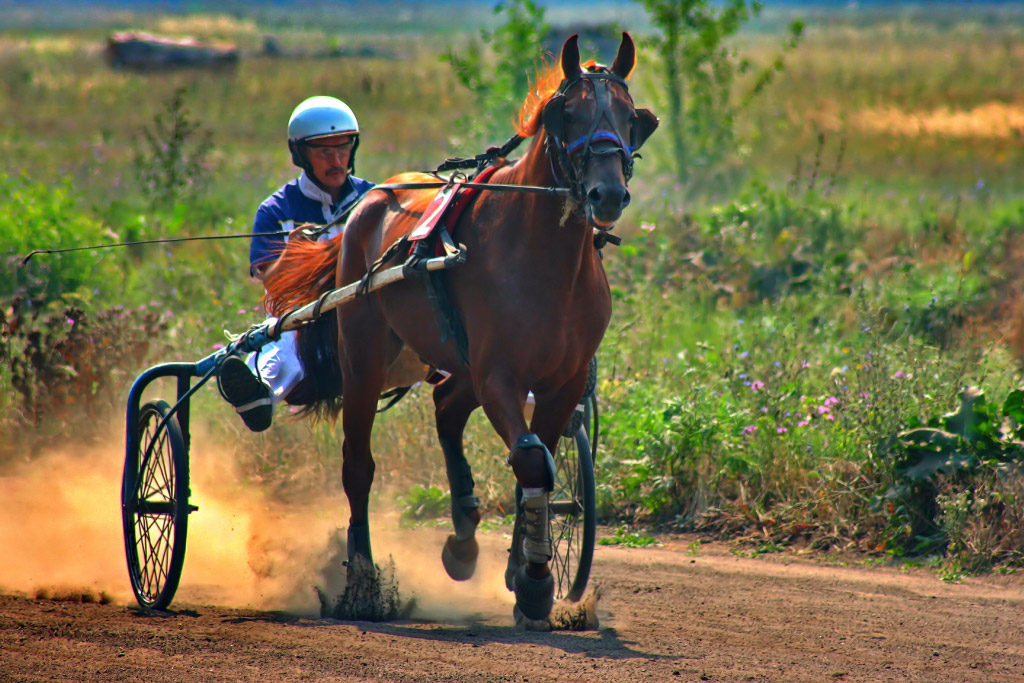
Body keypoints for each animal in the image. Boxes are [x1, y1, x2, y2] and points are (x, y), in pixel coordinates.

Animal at [264, 33, 659, 626]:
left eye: (632, 117)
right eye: (568, 112)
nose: (606, 195)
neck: (545, 258)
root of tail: (370, 200)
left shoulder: (562, 382)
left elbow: (539, 463)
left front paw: (521, 568)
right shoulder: (500, 375)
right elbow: (531, 461)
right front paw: (535, 581)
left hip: (456, 359)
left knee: (448, 406)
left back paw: (464, 537)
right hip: (364, 357)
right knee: (358, 464)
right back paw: (364, 578)